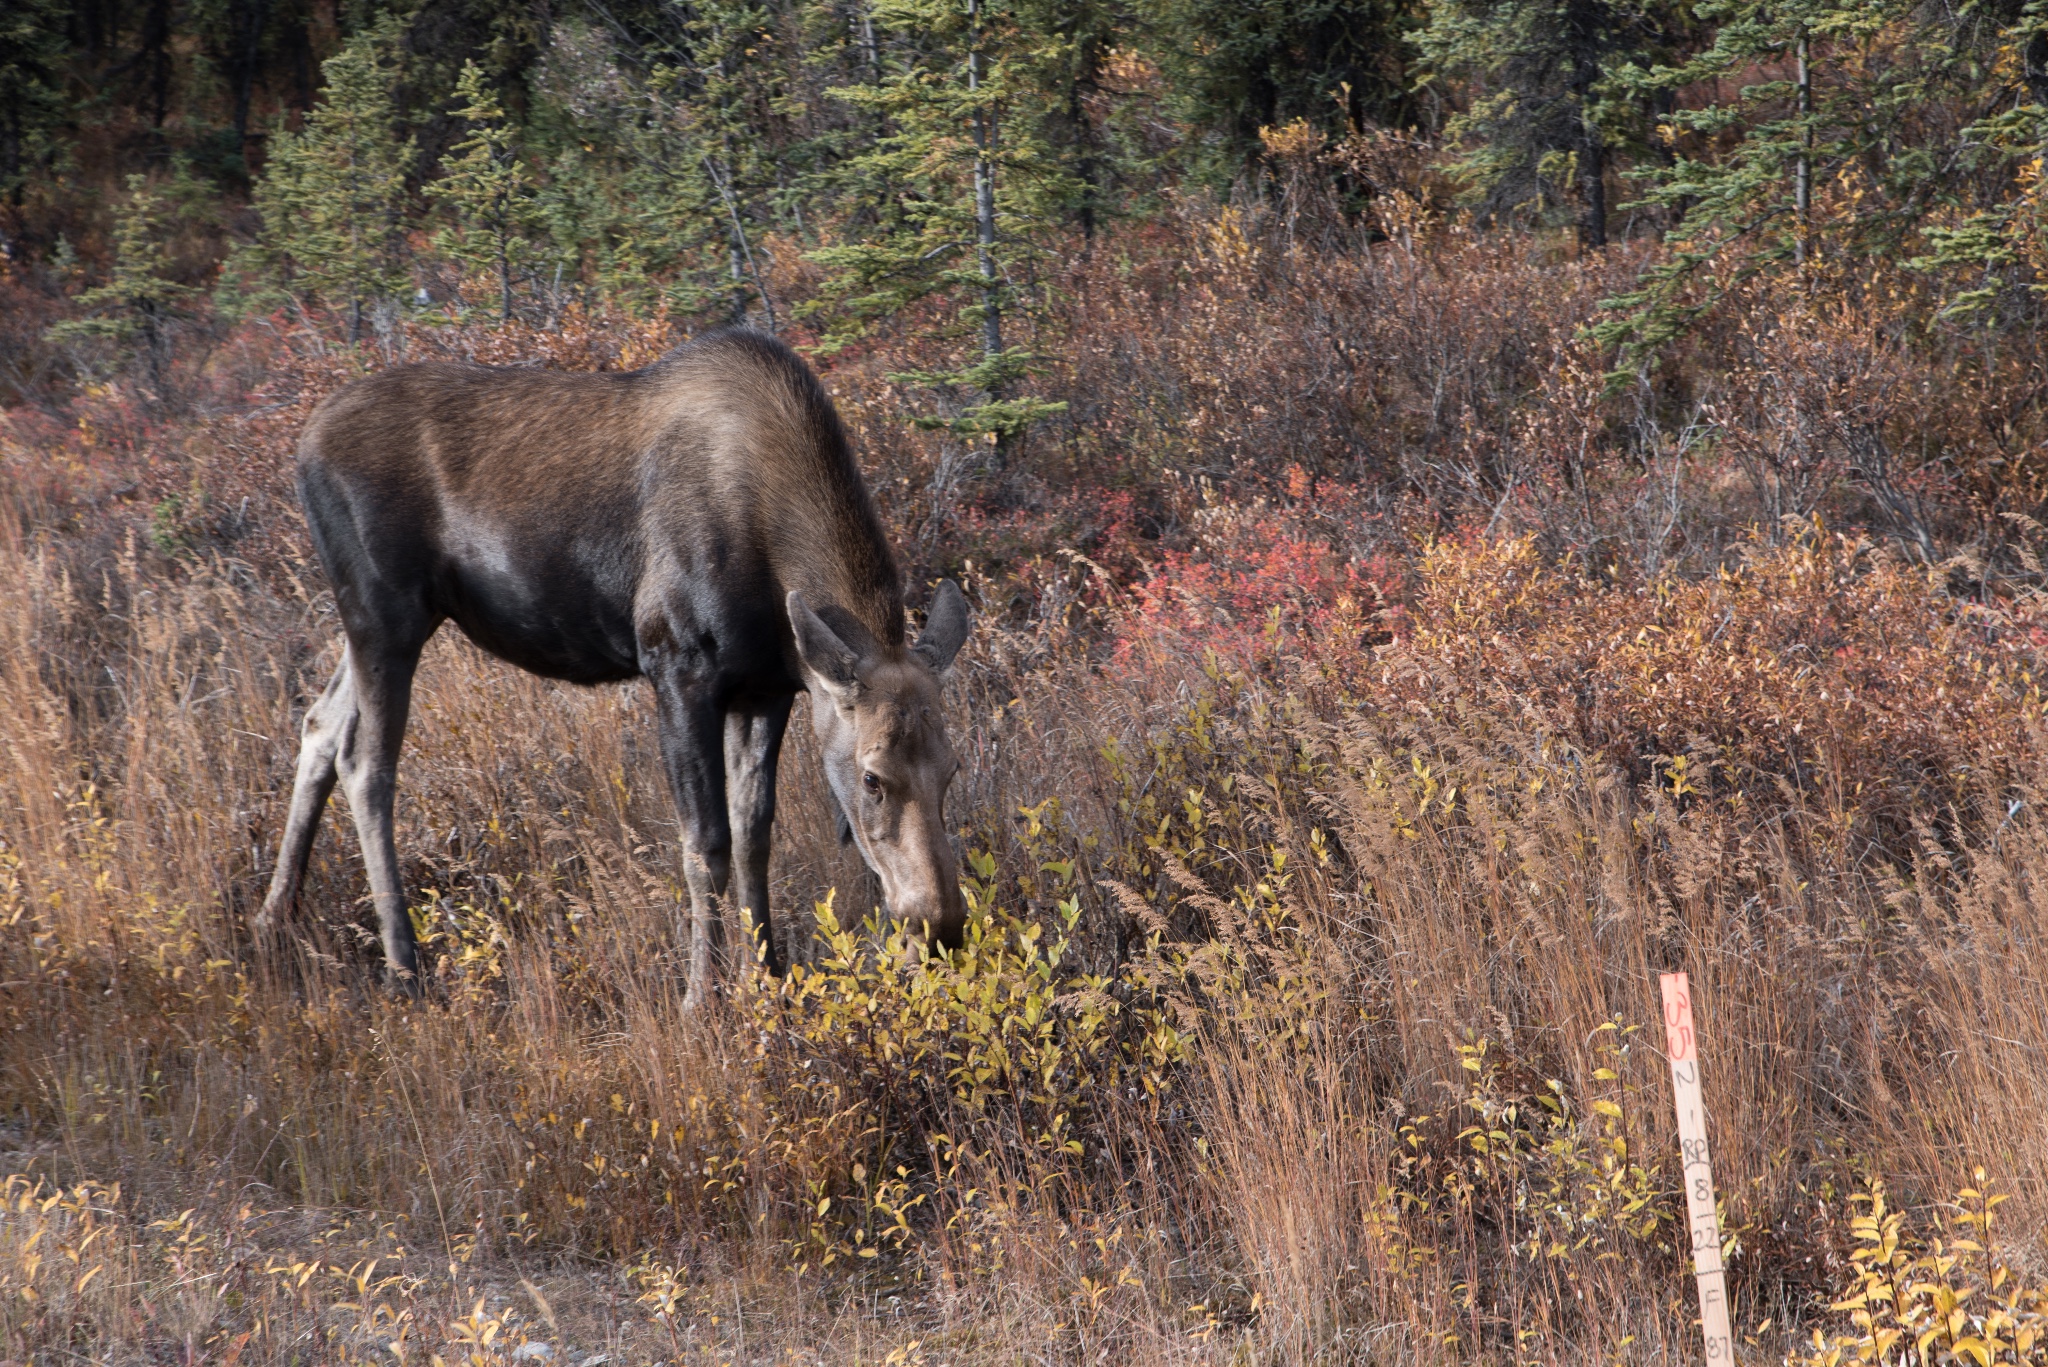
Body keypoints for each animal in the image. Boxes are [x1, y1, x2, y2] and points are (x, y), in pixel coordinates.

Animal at [258, 327, 974, 1000]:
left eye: (953, 769)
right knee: (366, 763)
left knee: (320, 725)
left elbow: (754, 835)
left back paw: (275, 917)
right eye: (873, 778)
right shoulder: (678, 668)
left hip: (387, 622)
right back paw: (403, 965)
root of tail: (303, 445)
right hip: (384, 613)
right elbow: (705, 844)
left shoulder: (766, 689)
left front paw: (768, 977)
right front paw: (701, 997)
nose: (940, 927)